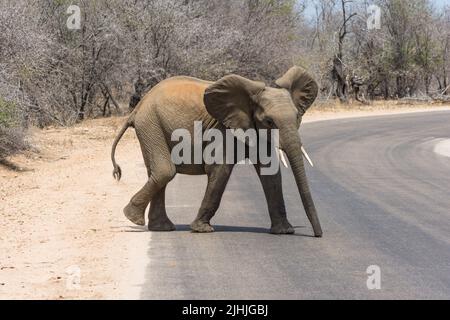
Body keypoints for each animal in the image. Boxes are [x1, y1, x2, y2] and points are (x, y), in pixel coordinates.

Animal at [112, 66, 324, 236]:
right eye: (269, 121)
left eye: (297, 117)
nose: (318, 235)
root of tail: (138, 106)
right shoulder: (223, 128)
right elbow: (220, 170)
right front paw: (201, 229)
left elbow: (270, 174)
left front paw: (284, 231)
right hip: (151, 124)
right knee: (165, 171)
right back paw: (132, 218)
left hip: (151, 126)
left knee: (158, 173)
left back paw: (160, 228)